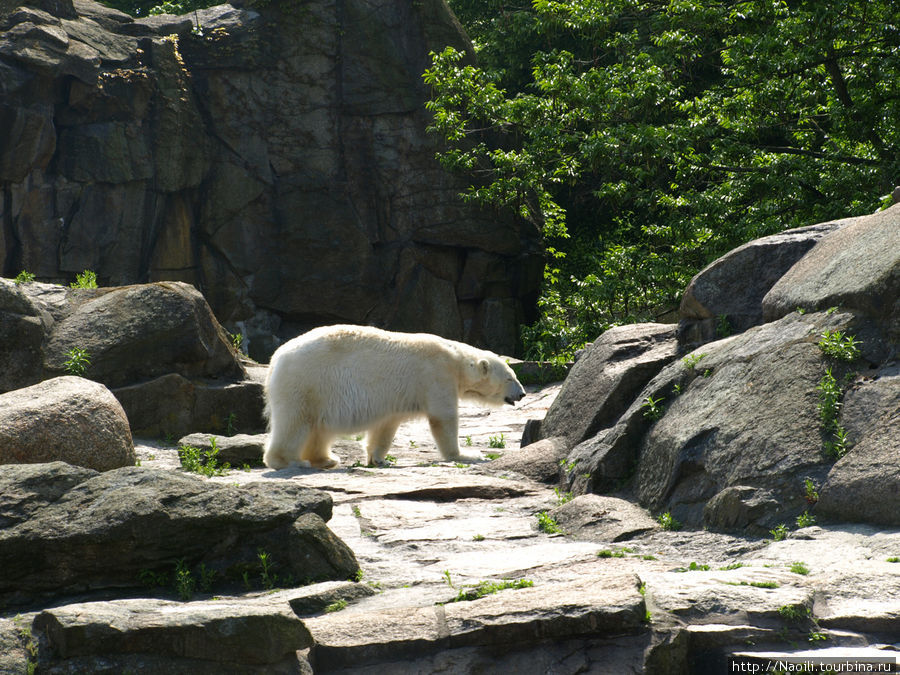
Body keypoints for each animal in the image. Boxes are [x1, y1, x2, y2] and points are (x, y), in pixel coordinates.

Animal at [262, 328, 528, 470]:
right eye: (510, 377)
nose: (522, 393)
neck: (456, 361)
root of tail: (275, 359)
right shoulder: (436, 375)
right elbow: (443, 418)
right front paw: (466, 455)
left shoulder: (396, 399)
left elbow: (386, 426)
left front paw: (378, 459)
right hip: (307, 382)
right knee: (296, 422)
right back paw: (292, 462)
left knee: (319, 429)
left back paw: (326, 459)